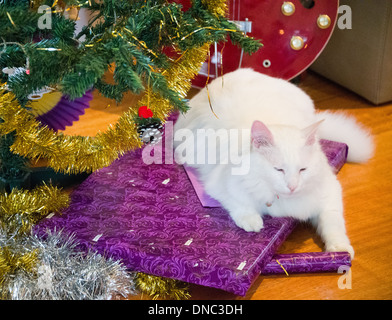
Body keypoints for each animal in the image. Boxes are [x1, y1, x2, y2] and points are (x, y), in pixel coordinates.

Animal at [174, 67, 374, 258]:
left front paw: (340, 250)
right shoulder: (218, 185)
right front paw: (253, 222)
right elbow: (240, 204)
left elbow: (333, 225)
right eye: (279, 170)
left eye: (302, 170)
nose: (292, 187)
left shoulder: (330, 192)